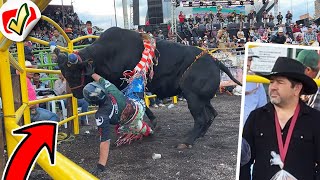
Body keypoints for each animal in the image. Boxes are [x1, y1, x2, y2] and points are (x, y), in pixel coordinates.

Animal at [58, 27, 242, 148]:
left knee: (202, 118)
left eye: (74, 74)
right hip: (201, 99)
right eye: (64, 74)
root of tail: (215, 60)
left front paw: (152, 122)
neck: (109, 53)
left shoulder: (126, 84)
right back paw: (197, 135)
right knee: (211, 114)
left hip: (194, 98)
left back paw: (187, 141)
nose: (76, 94)